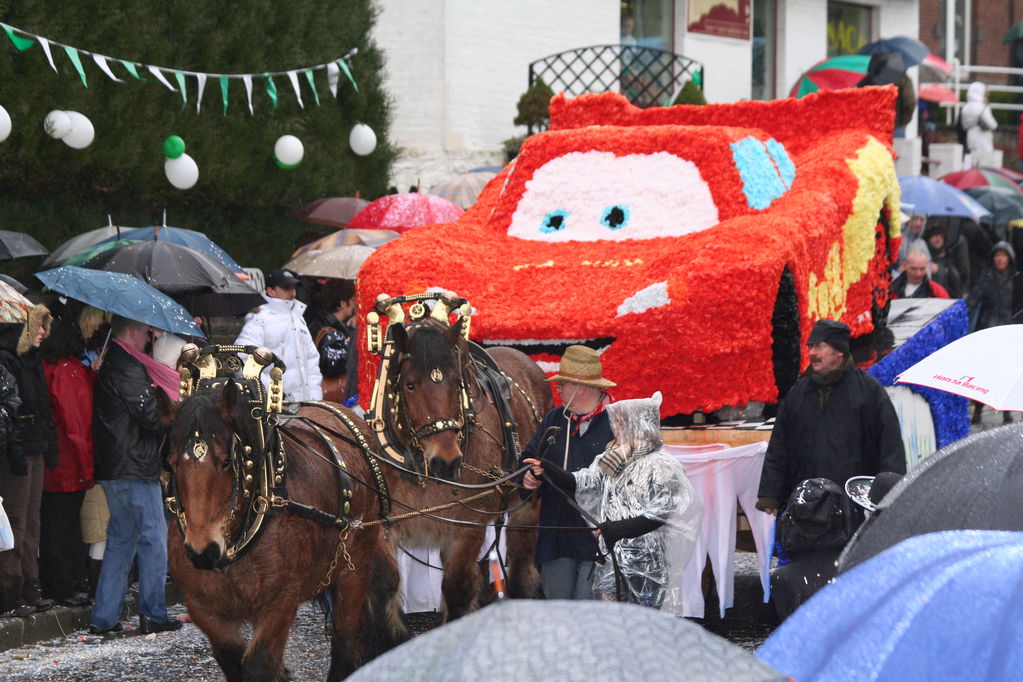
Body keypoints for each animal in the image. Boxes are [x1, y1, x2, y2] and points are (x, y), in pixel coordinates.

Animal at [165, 382, 405, 678]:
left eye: (226, 462)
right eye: (172, 463)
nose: (202, 551)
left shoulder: (281, 600)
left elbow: (260, 664)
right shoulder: (201, 607)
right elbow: (232, 659)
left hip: (355, 564)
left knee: (346, 636)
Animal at [368, 306, 556, 621]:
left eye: (458, 383)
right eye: (409, 385)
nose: (446, 461)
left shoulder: (465, 529)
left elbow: (458, 588)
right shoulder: (384, 529)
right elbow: (384, 584)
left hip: (526, 505)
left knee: (520, 563)